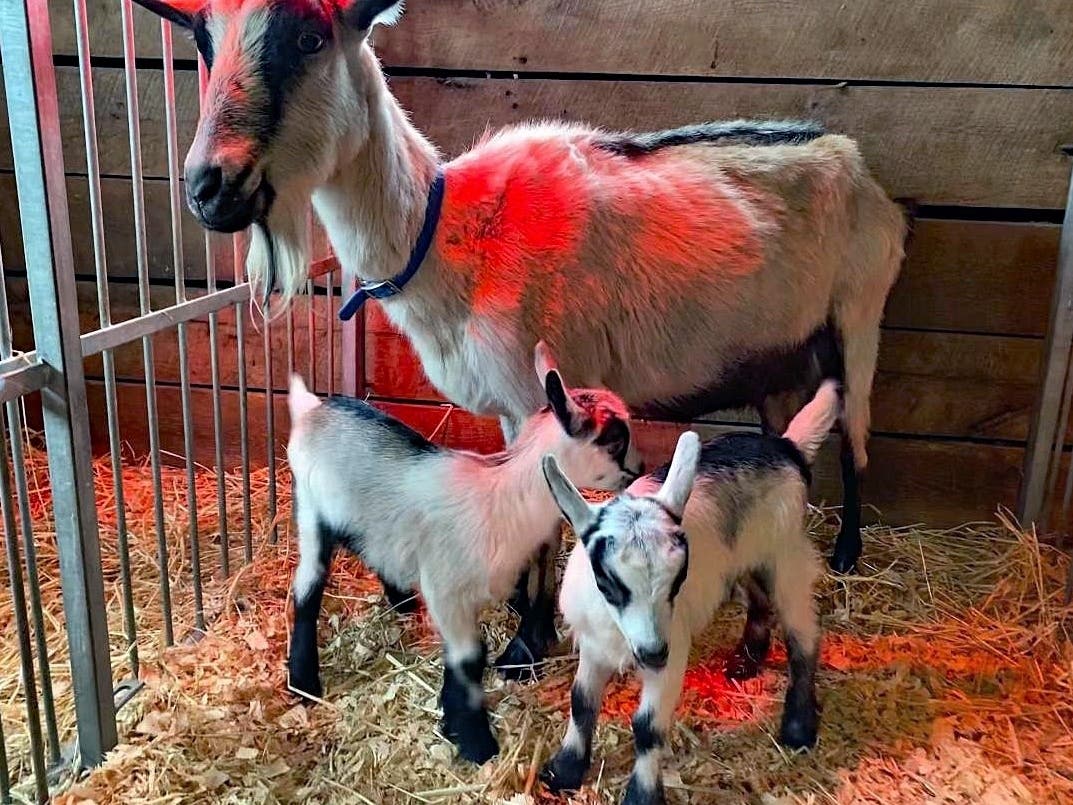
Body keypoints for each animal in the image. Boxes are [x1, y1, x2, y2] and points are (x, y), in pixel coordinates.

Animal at [134, 0, 908, 681]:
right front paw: (517, 613)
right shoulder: (509, 403)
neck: (445, 235)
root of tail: (857, 163)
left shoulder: (535, 384)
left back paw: (847, 551)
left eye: (307, 38)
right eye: (203, 40)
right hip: (778, 358)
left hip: (859, 310)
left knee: (857, 434)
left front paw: (526, 645)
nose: (208, 187)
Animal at [285, 343, 643, 764]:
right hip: (310, 510)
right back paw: (304, 680)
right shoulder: (446, 591)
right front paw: (475, 740)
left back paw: (401, 600)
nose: (640, 469)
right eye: (614, 438)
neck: (501, 499)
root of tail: (313, 408)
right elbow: (469, 657)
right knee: (308, 586)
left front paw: (454, 721)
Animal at [539, 381, 840, 804]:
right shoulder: (594, 644)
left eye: (678, 579)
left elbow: (647, 726)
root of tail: (786, 446)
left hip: (786, 551)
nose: (652, 653)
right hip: (745, 556)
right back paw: (746, 661)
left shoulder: (672, 649)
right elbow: (581, 702)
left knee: (803, 633)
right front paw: (563, 770)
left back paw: (799, 727)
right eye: (608, 582)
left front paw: (642, 795)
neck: (620, 635)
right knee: (760, 599)